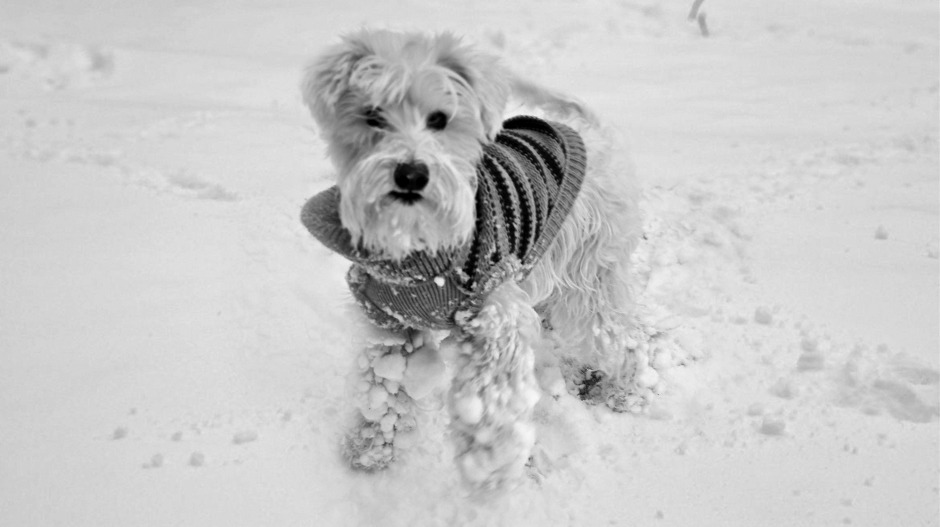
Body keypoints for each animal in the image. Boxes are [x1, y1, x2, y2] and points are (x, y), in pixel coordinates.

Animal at [300, 27, 660, 490]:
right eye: (372, 116)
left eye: (439, 119)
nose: (411, 174)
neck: (416, 245)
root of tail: (590, 128)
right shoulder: (388, 322)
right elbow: (382, 388)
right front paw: (371, 449)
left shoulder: (495, 310)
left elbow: (492, 392)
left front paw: (489, 464)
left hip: (592, 276)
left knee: (622, 338)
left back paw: (623, 391)